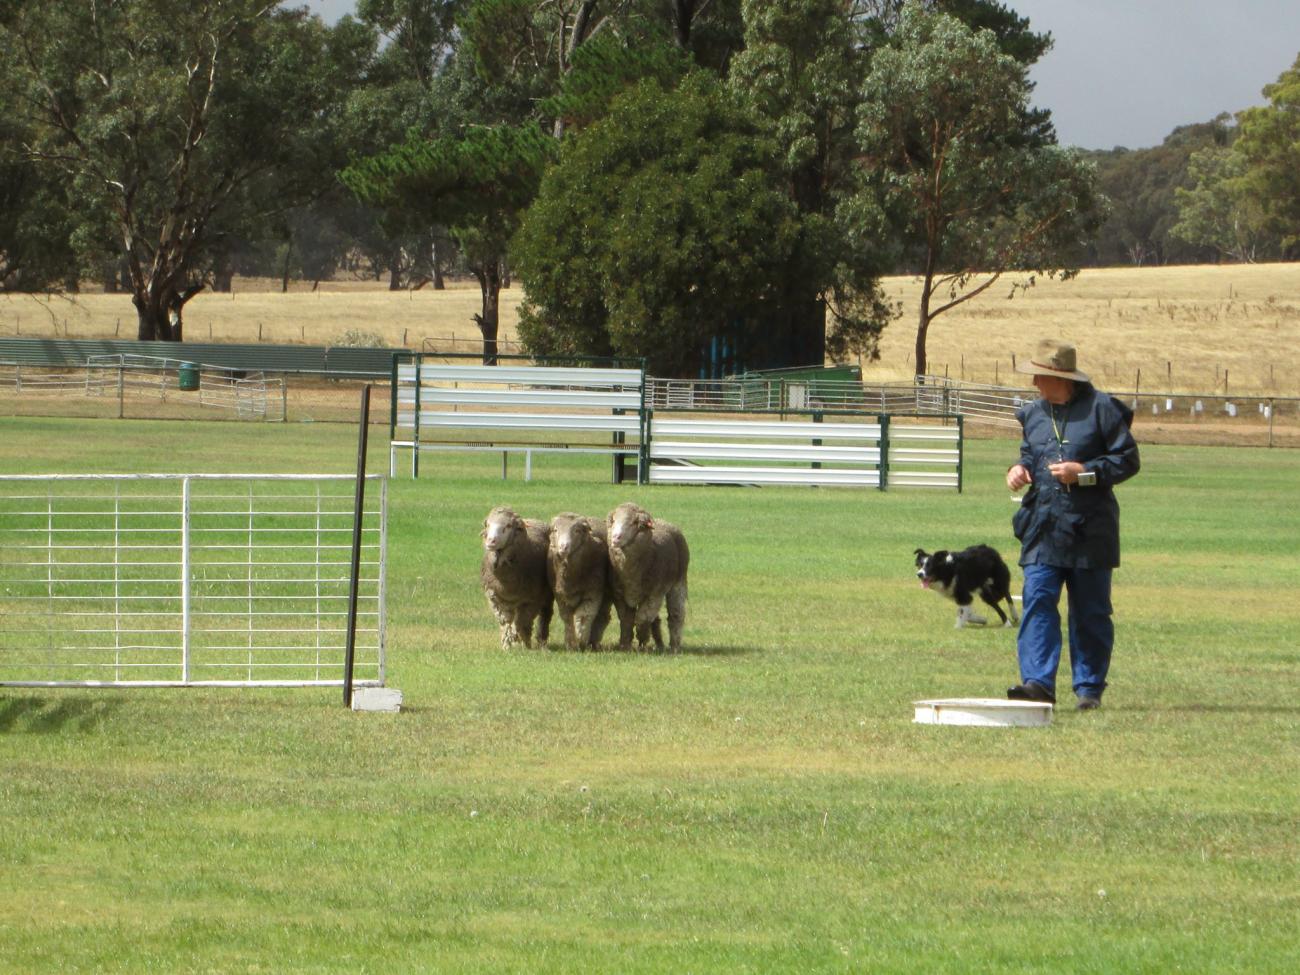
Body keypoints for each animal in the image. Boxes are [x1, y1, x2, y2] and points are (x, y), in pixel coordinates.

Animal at [480, 505, 553, 649]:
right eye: (488, 524)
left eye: (508, 526)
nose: (491, 541)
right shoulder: (495, 598)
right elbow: (505, 623)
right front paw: (507, 646)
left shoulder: (531, 600)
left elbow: (522, 622)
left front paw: (525, 644)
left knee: (545, 614)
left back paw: (541, 641)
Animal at [546, 513, 613, 651]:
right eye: (555, 530)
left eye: (577, 531)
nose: (563, 547)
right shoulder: (561, 596)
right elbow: (567, 619)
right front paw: (570, 643)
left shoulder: (592, 594)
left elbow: (583, 616)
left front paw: (581, 640)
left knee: (603, 616)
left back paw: (593, 642)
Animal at [606, 502, 689, 652]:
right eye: (614, 520)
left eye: (634, 522)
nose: (615, 537)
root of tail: (664, 521)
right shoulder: (620, 595)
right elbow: (626, 620)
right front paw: (625, 645)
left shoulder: (654, 594)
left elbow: (642, 619)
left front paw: (642, 638)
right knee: (656, 619)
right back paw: (659, 643)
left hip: (679, 581)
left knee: (676, 614)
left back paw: (674, 646)